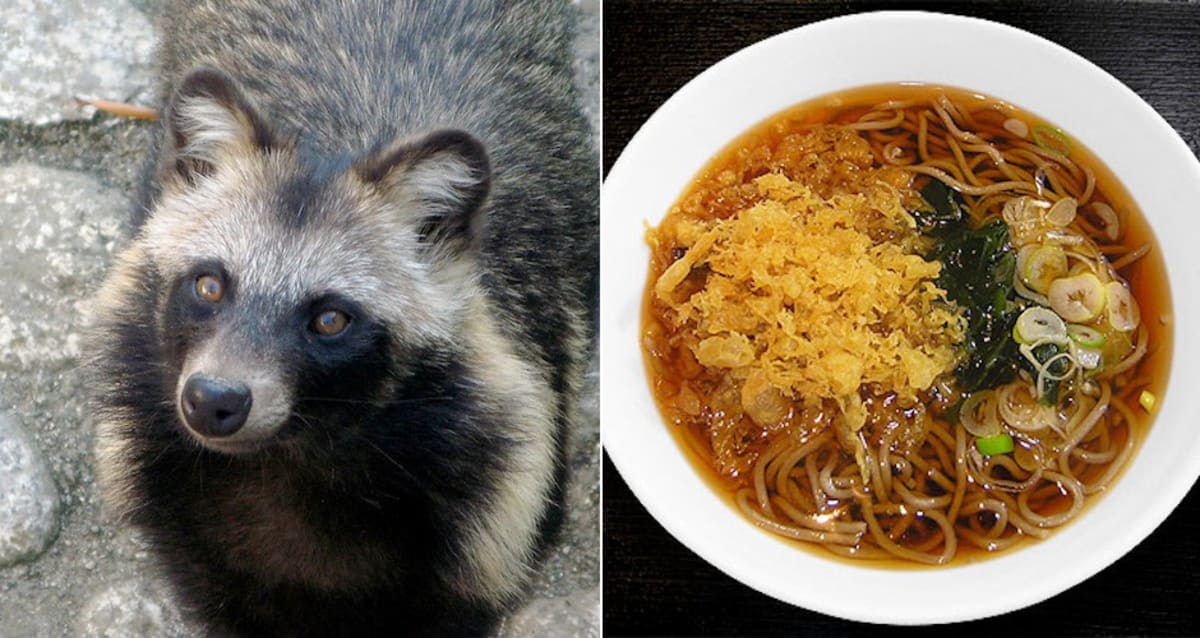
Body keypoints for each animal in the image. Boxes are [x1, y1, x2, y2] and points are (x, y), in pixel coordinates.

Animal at [85, 1, 596, 635]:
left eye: (330, 319)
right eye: (208, 285)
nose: (213, 399)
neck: (287, 461)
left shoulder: (495, 516)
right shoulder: (180, 511)